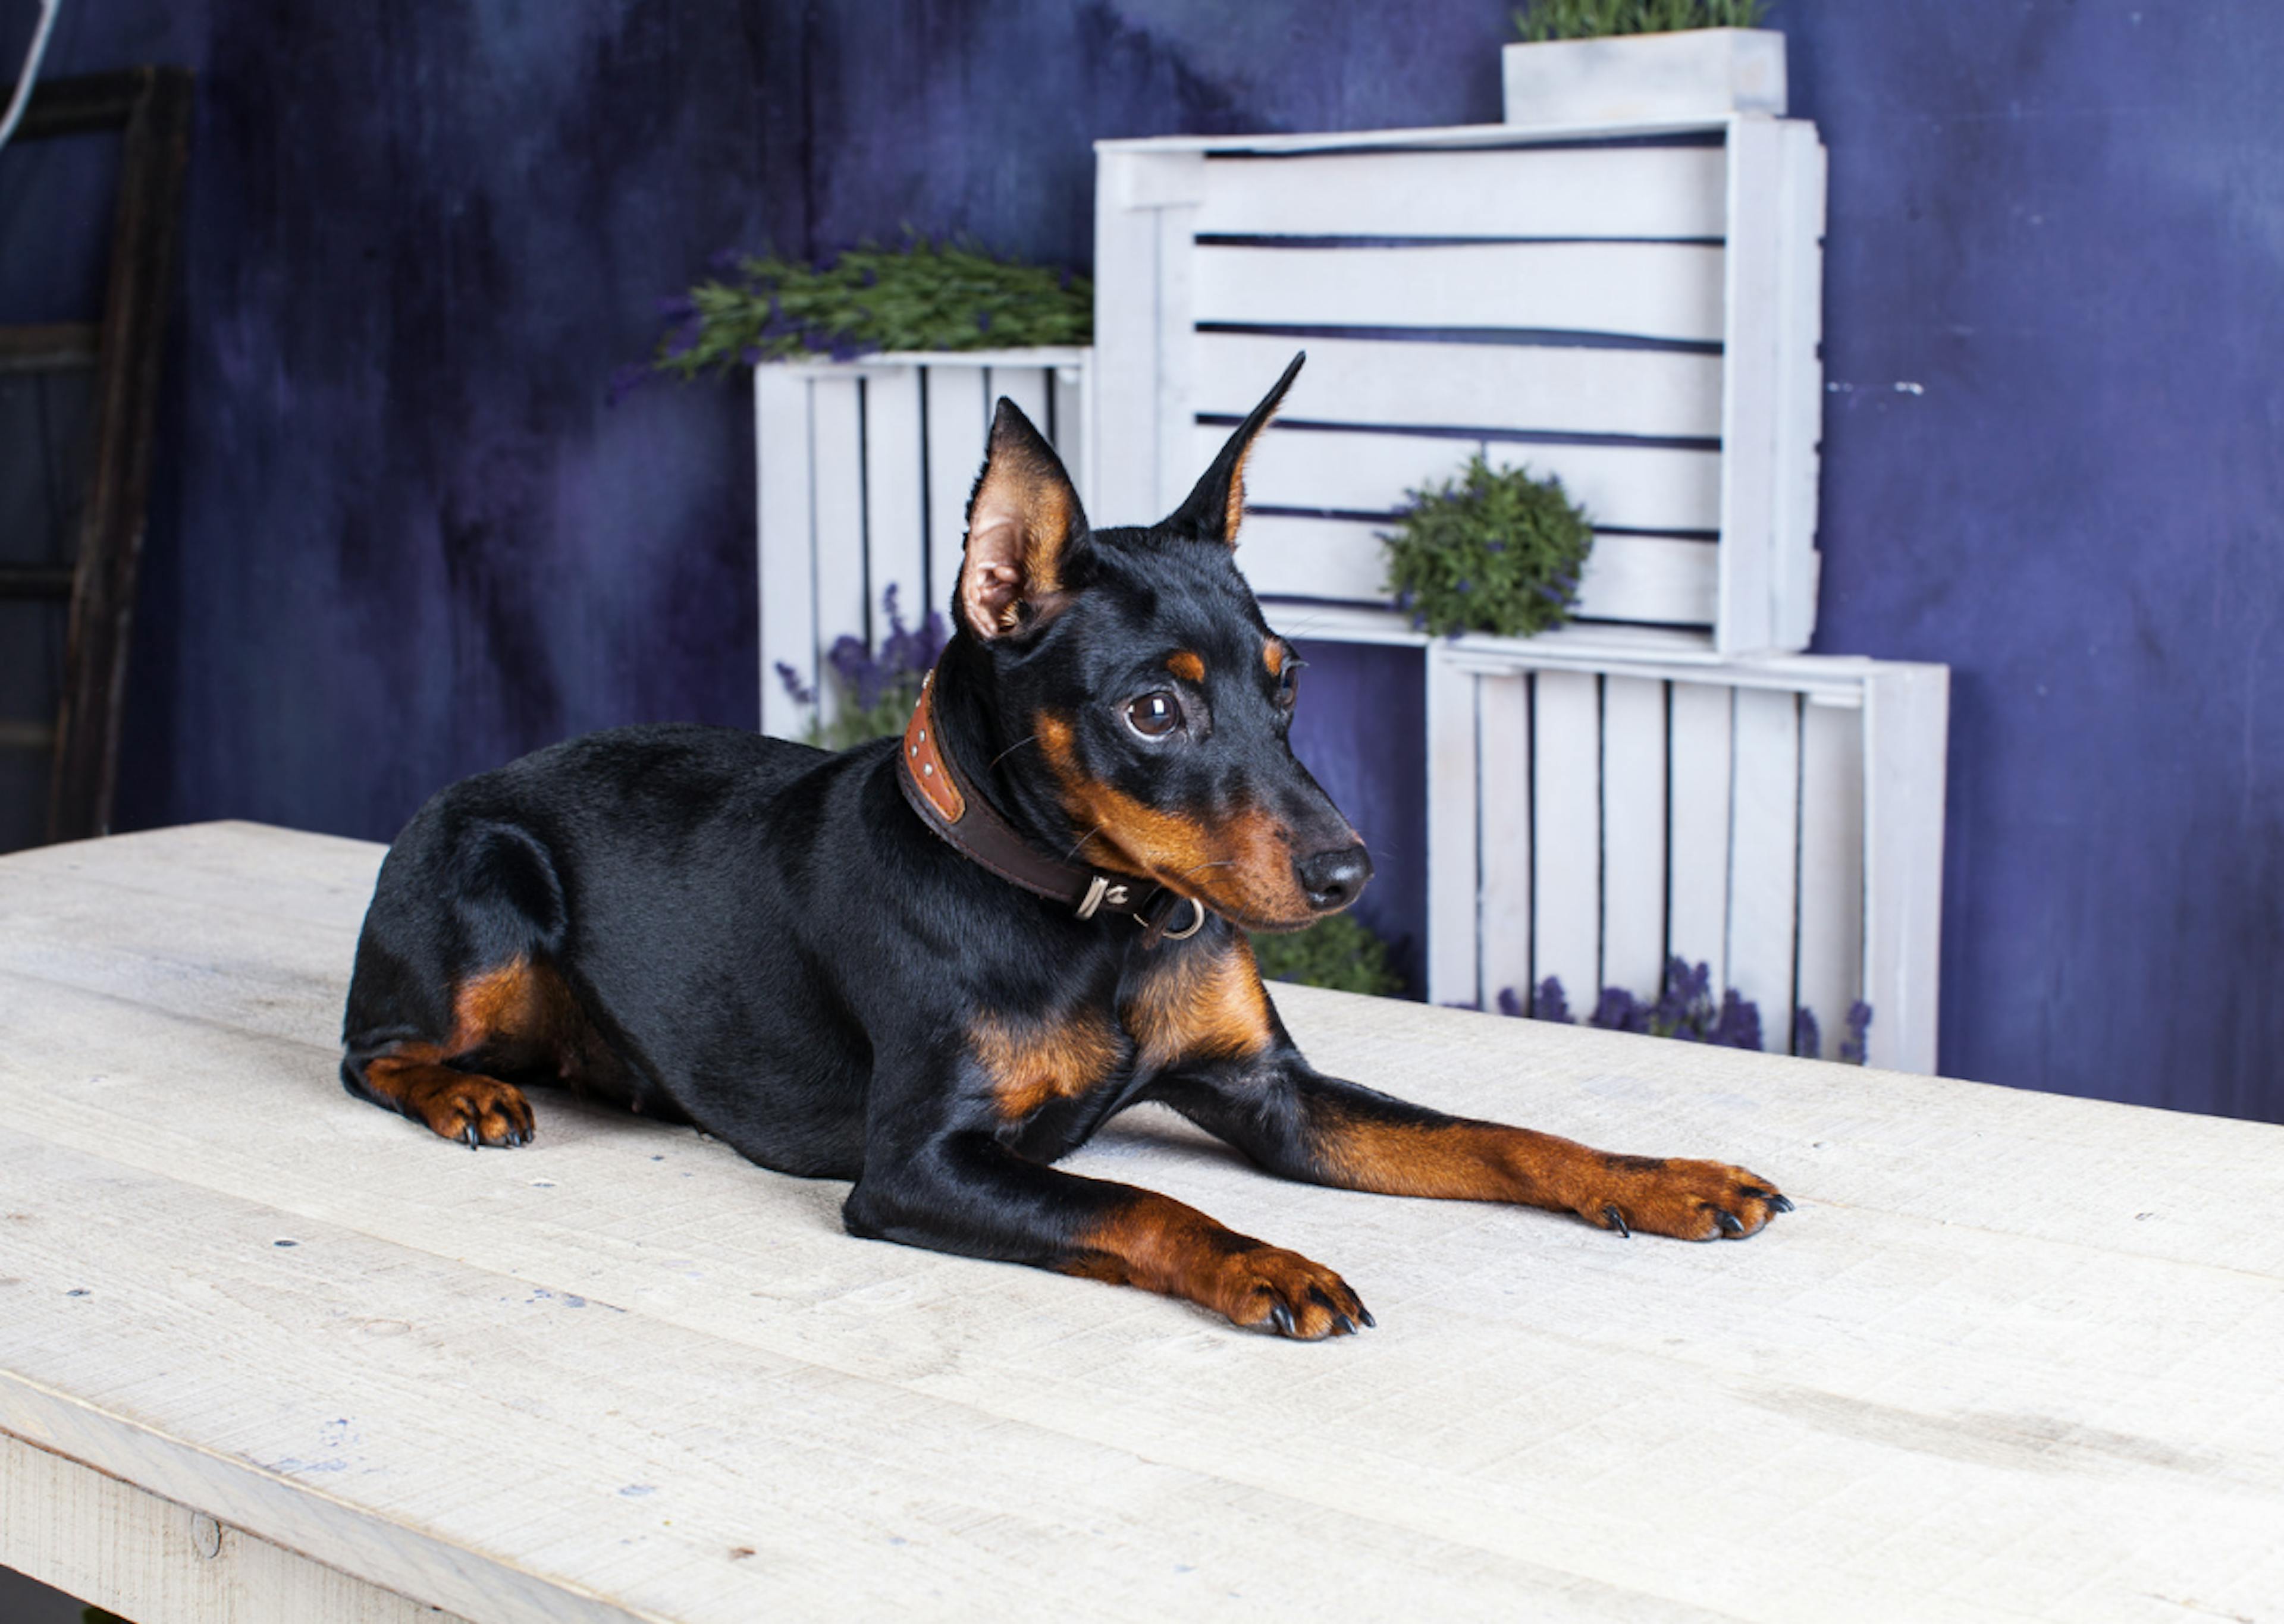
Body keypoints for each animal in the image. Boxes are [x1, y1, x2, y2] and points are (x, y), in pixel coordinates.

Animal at [338, 363, 1781, 1343]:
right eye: (1152, 712)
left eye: (1288, 681)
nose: (1349, 874)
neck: (1102, 915)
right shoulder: (914, 1169)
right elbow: (1145, 1205)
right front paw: (1268, 1262)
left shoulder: (1273, 1096)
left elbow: (1498, 1136)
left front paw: (1666, 1180)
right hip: (486, 891)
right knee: (369, 1052)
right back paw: (466, 1095)